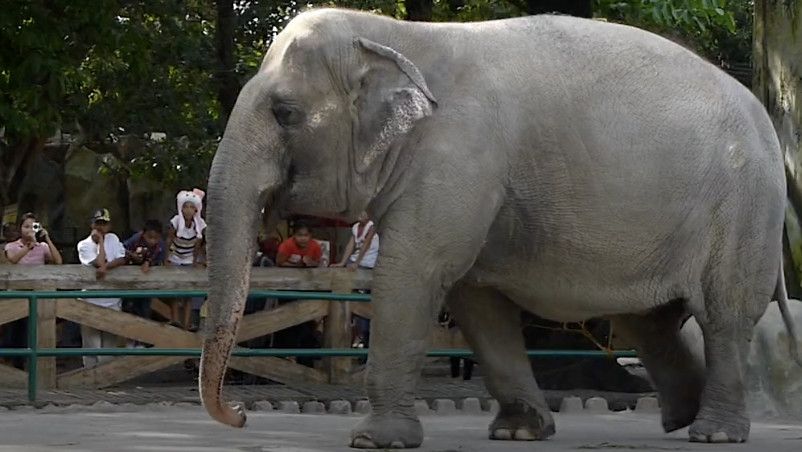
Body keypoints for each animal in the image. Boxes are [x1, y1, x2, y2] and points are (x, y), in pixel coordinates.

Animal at [198, 6, 802, 449]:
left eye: (285, 113)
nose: (241, 415)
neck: (396, 34)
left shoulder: (460, 154)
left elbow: (415, 272)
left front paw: (376, 441)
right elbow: (474, 297)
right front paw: (519, 433)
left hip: (744, 208)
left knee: (721, 317)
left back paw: (714, 434)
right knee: (647, 323)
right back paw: (680, 421)